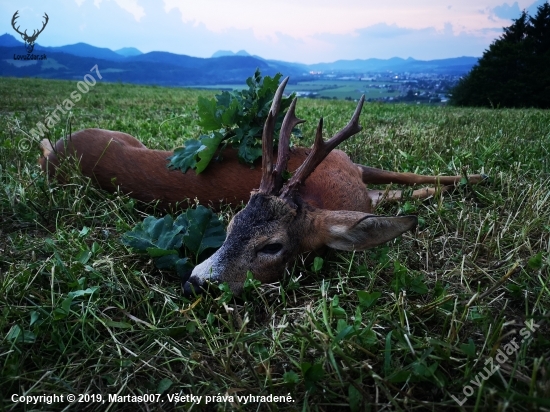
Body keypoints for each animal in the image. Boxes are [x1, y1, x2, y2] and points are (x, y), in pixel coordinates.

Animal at [38, 78, 486, 296]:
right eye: (230, 227)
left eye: (272, 246)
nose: (194, 282)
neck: (330, 192)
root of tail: (53, 154)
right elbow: (409, 190)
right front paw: (475, 177)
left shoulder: (354, 165)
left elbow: (412, 179)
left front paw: (476, 176)